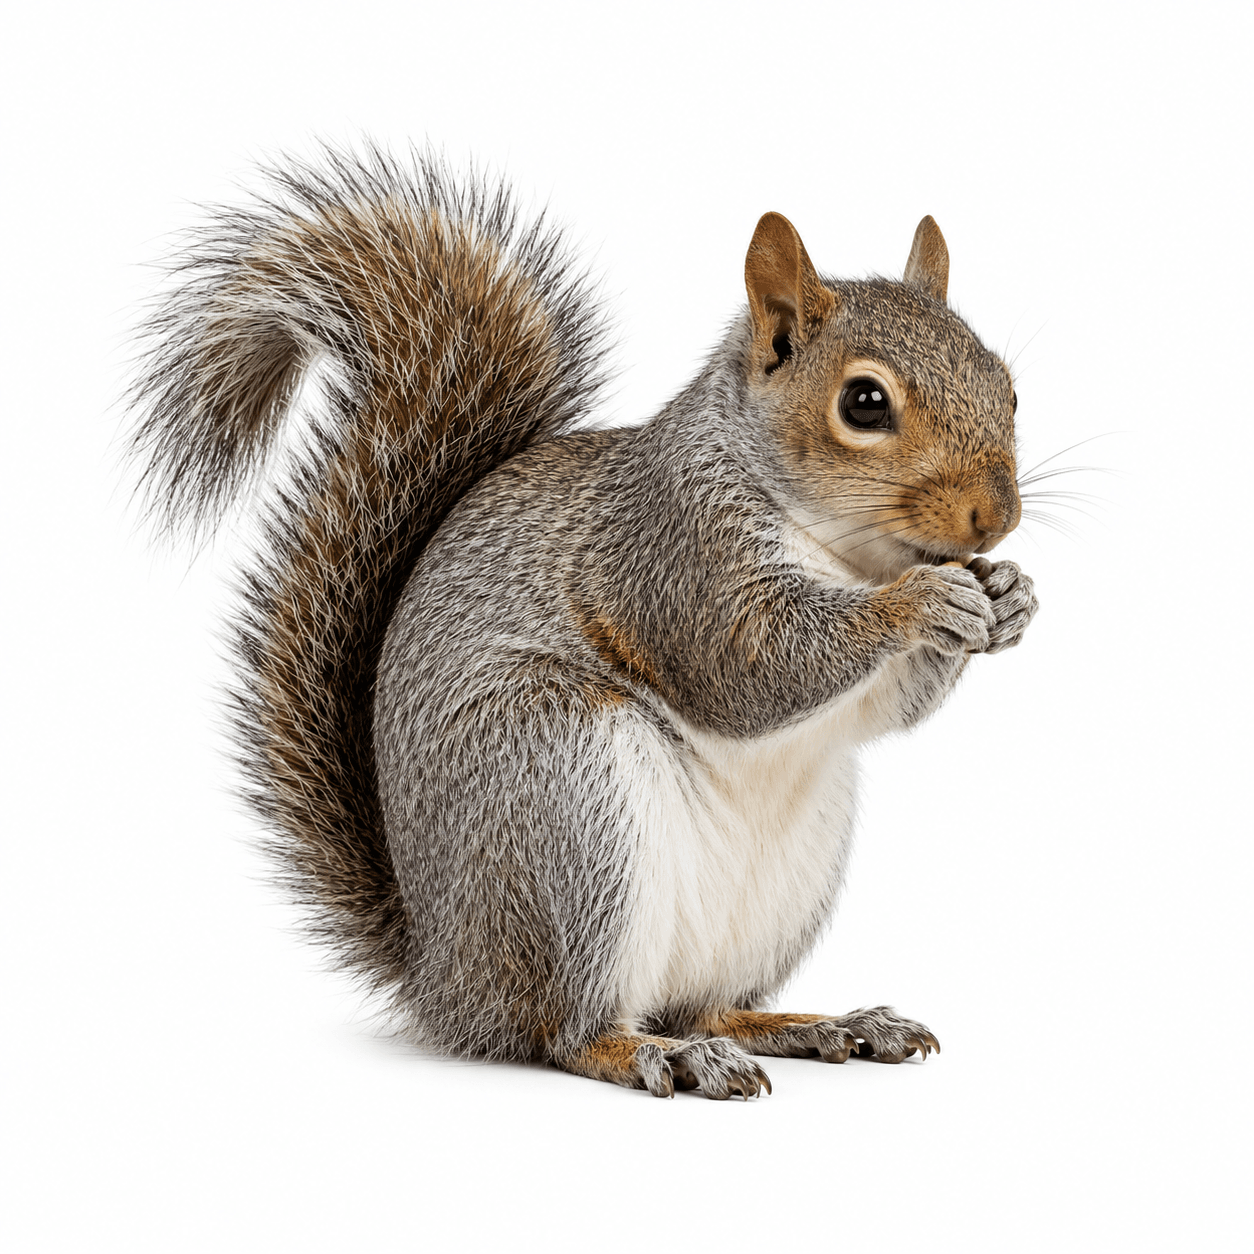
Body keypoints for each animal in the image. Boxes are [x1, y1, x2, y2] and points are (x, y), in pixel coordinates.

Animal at [129, 144, 1038, 1100]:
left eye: (1007, 388)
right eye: (864, 403)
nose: (997, 518)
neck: (850, 554)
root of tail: (444, 974)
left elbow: (881, 709)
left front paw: (1009, 594)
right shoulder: (669, 558)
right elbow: (749, 665)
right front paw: (923, 603)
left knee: (707, 1006)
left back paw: (821, 1025)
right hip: (560, 795)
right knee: (563, 1031)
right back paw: (653, 1053)